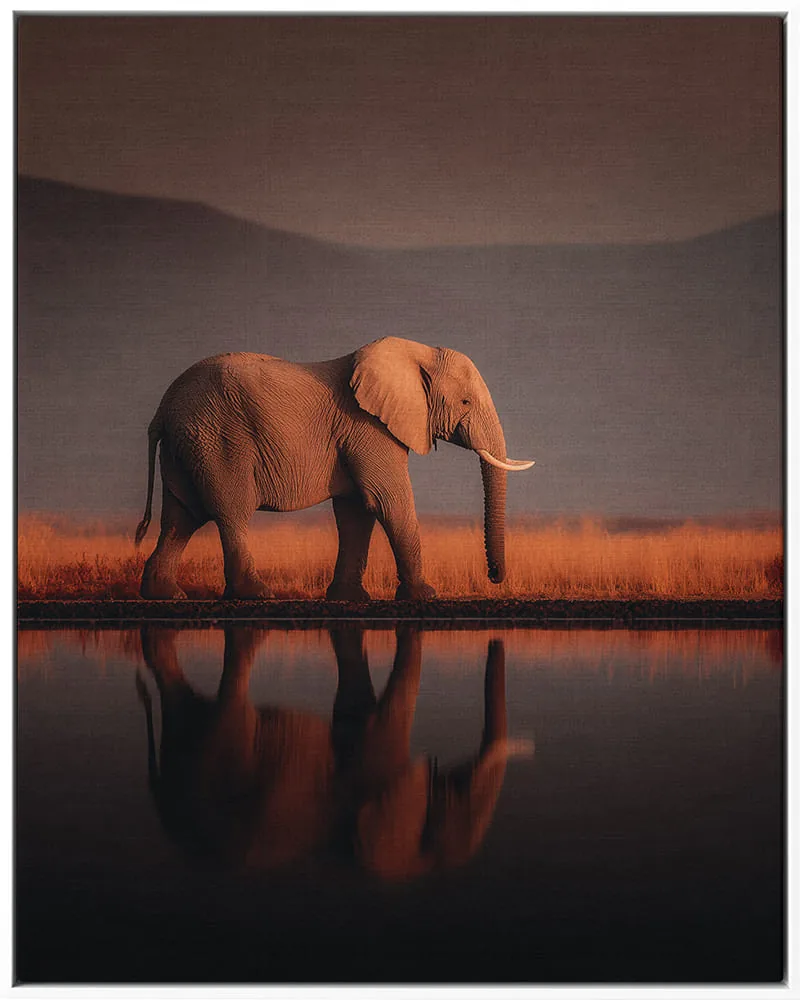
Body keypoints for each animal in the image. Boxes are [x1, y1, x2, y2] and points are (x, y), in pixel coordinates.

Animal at [134, 337, 534, 600]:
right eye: (465, 402)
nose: (494, 576)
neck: (415, 353)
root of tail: (161, 410)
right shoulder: (368, 427)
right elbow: (388, 501)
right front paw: (425, 595)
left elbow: (357, 510)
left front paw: (348, 599)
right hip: (218, 439)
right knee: (229, 512)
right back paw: (256, 594)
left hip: (187, 445)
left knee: (181, 517)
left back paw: (166, 595)